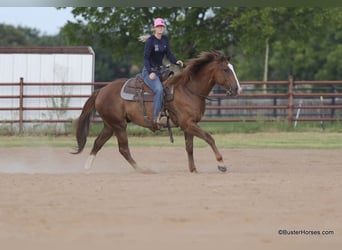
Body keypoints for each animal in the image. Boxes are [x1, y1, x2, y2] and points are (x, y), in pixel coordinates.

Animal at [74, 49, 242, 173]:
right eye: (226, 69)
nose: (237, 89)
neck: (188, 90)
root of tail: (101, 91)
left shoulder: (189, 125)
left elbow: (189, 147)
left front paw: (193, 169)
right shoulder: (188, 124)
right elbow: (209, 138)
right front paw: (221, 164)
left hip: (110, 125)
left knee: (98, 143)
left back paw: (87, 168)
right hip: (119, 125)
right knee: (123, 149)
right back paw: (142, 169)